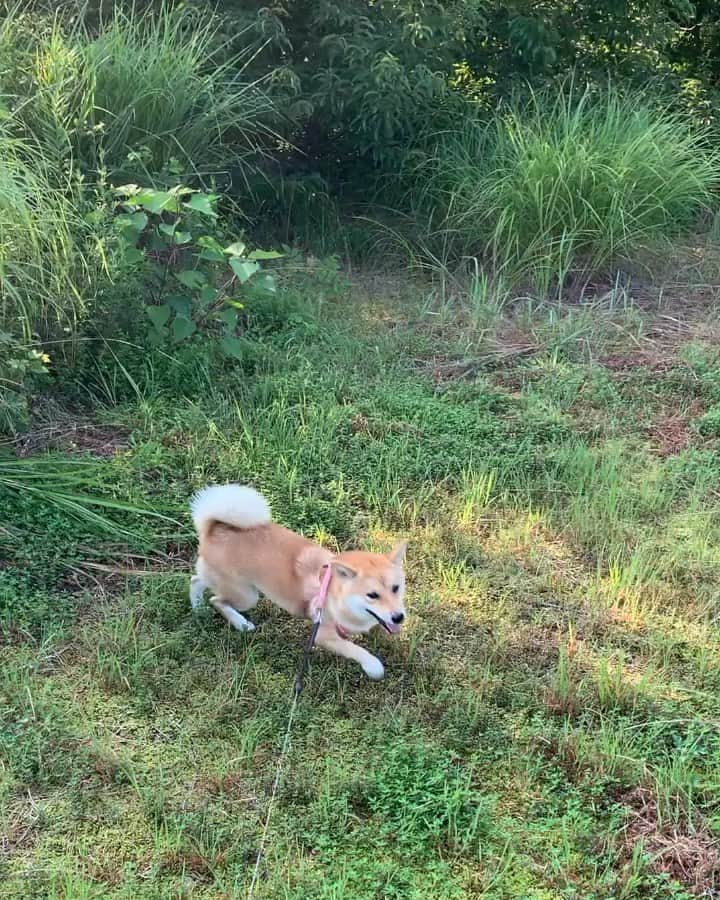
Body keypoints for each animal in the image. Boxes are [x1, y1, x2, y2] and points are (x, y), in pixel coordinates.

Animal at [188, 488, 408, 680]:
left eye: (396, 588)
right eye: (372, 595)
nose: (399, 617)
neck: (332, 591)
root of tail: (213, 528)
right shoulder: (322, 634)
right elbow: (355, 649)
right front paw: (373, 666)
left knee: (196, 581)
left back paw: (198, 608)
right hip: (246, 596)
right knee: (216, 599)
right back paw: (239, 622)